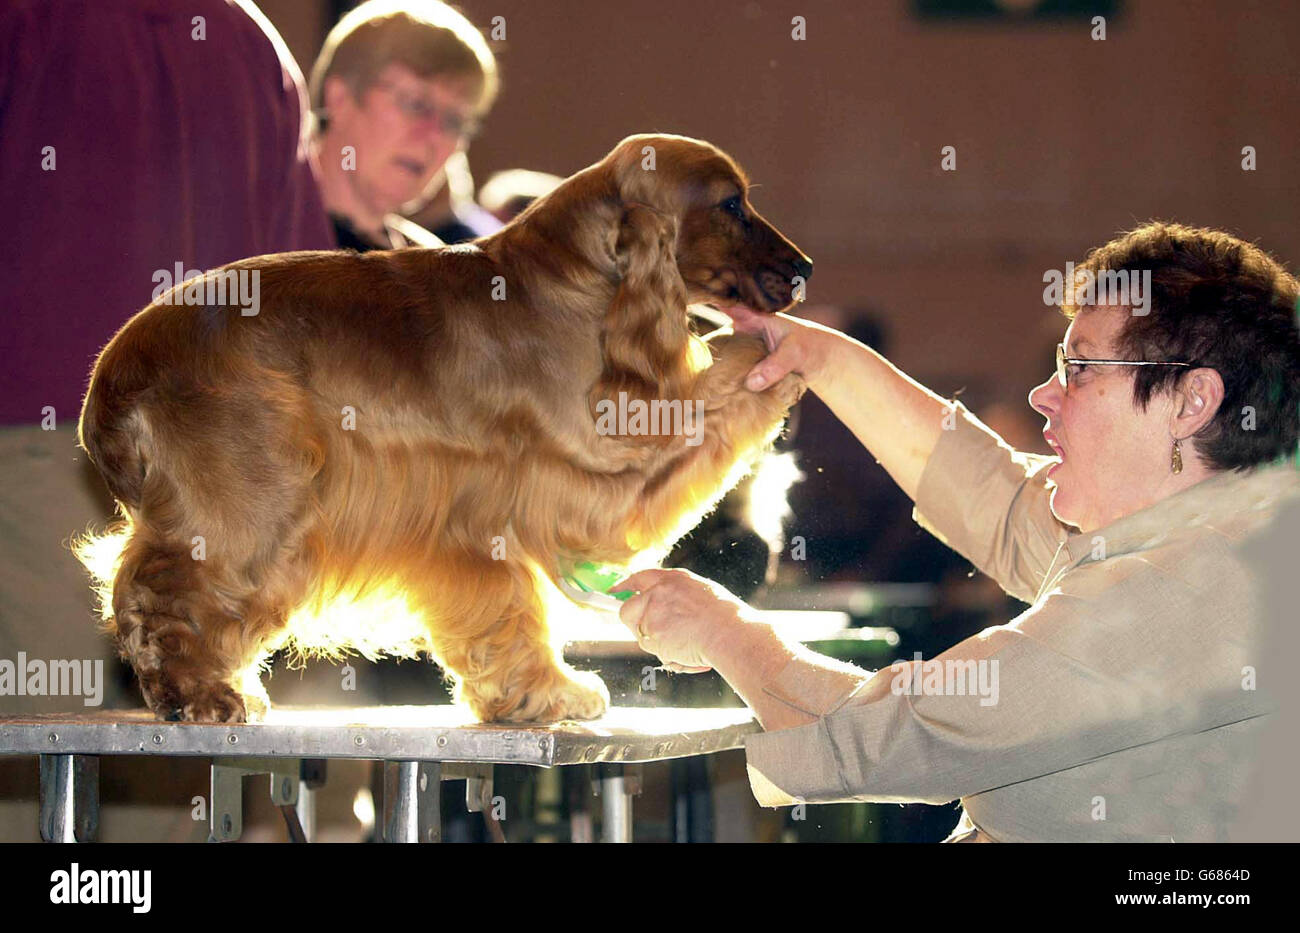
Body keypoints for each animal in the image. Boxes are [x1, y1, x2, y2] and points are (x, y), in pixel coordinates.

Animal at [76, 135, 811, 727]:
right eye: (732, 205)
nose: (804, 270)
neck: (581, 282)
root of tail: (112, 377)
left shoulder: (479, 518)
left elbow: (507, 611)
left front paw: (537, 696)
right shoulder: (602, 469)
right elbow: (722, 384)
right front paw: (773, 355)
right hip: (256, 510)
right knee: (156, 589)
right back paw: (198, 693)